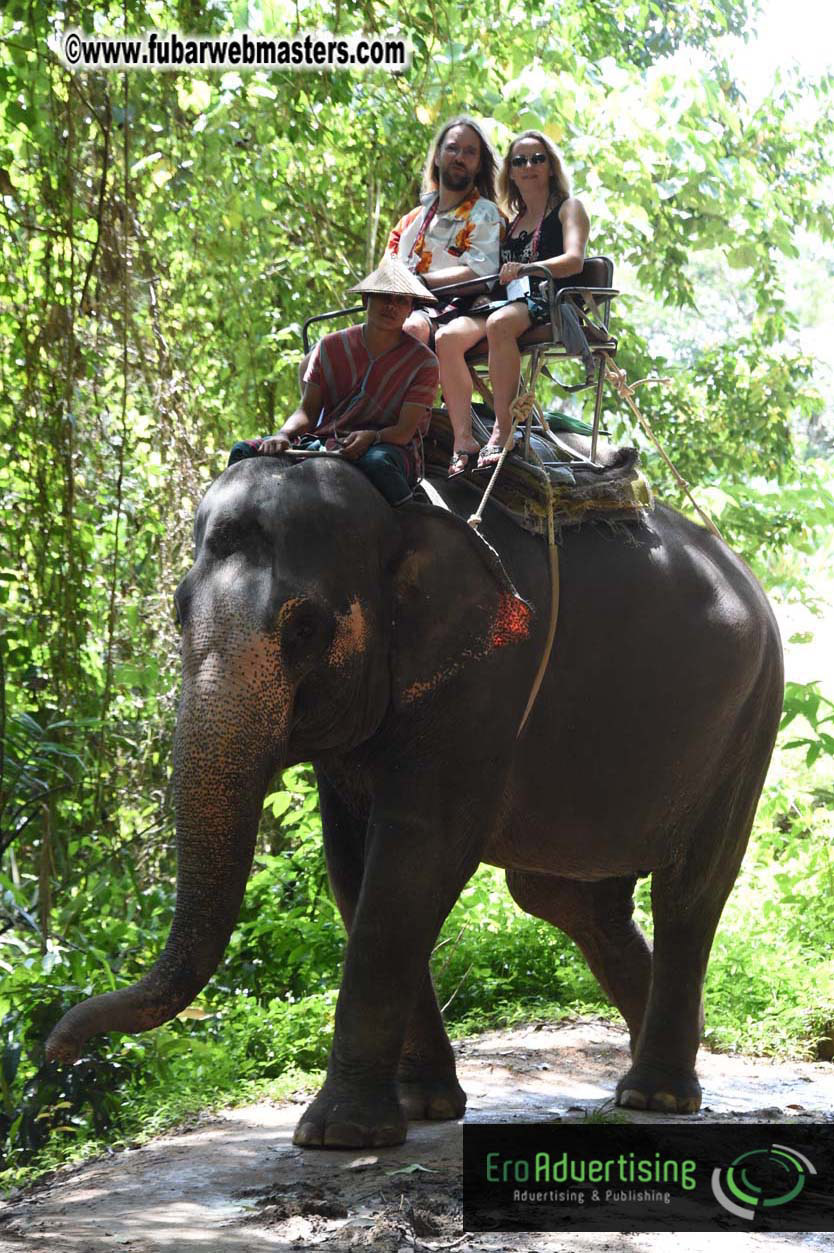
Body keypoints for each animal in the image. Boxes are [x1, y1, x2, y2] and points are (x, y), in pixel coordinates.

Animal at [46, 450, 784, 1147]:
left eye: (305, 628)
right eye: (177, 611)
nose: (59, 1048)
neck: (395, 511)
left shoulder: (488, 675)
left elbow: (413, 856)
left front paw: (338, 1134)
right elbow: (351, 866)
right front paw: (422, 1107)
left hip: (752, 718)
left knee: (690, 890)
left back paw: (656, 1092)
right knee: (565, 896)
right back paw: (674, 1049)